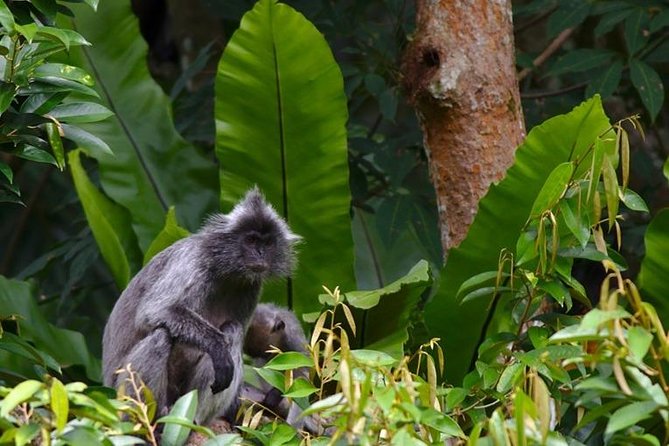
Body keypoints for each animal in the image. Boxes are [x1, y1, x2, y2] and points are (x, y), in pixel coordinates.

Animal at [102, 187, 300, 425]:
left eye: (267, 244)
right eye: (251, 241)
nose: (260, 254)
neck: (228, 272)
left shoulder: (252, 287)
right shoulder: (193, 261)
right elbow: (154, 311)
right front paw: (218, 348)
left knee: (232, 329)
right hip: (124, 390)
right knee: (161, 336)